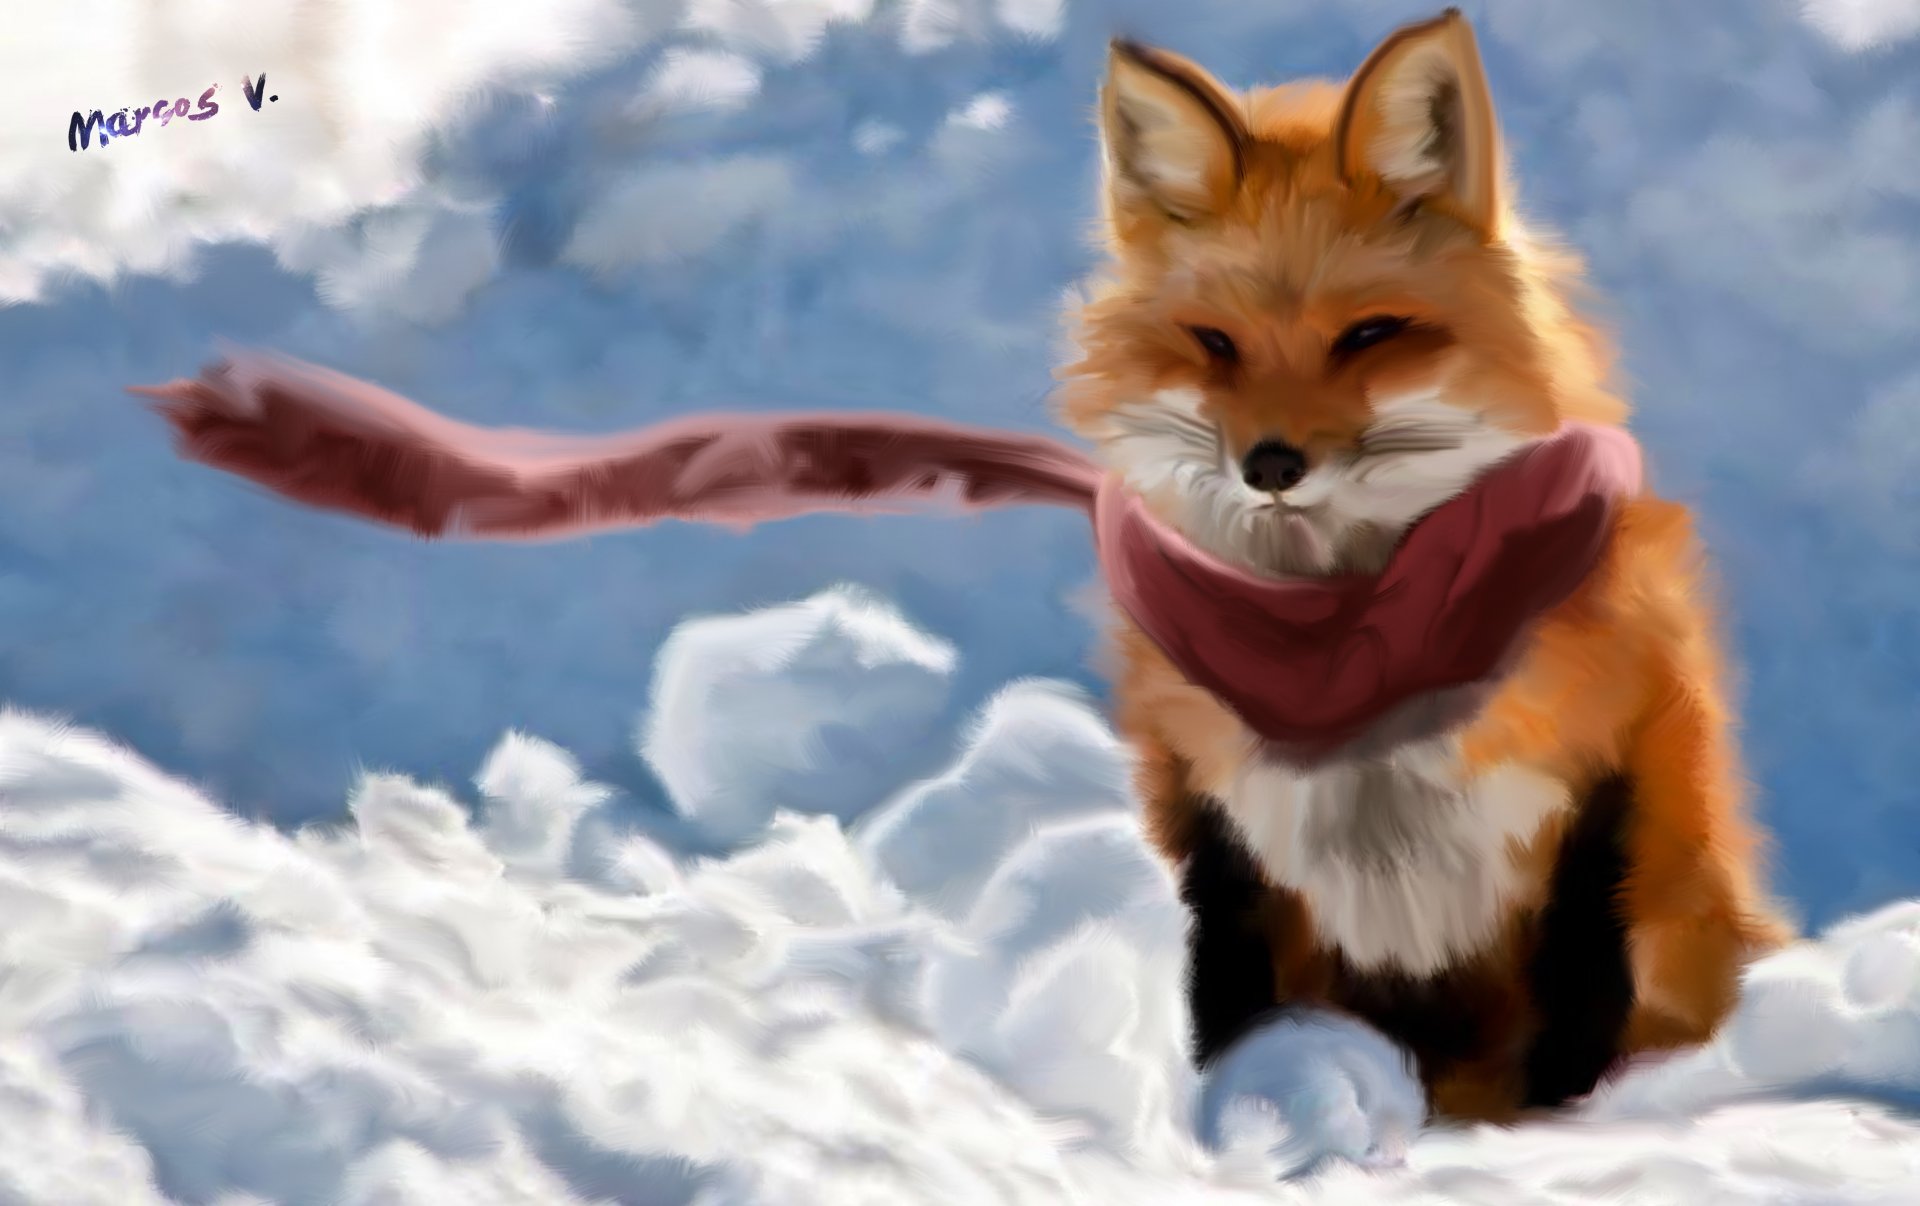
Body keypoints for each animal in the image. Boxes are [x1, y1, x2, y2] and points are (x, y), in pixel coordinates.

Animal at [1054, 9, 1796, 1122]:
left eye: (1369, 336)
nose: (1270, 465)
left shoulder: (1603, 801)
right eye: (1216, 344)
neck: (1349, 644)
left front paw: (1558, 1137)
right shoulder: (1218, 826)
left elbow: (1574, 1030)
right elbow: (1234, 1011)